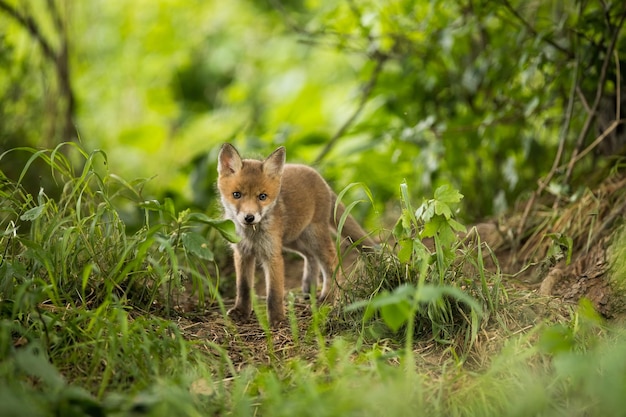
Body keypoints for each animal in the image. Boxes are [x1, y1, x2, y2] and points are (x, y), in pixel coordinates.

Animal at [217, 143, 372, 324]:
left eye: (262, 196)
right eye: (236, 195)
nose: (249, 217)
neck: (251, 236)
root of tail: (318, 176)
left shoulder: (273, 254)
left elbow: (274, 293)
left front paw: (277, 319)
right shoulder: (242, 253)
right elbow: (243, 287)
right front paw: (241, 311)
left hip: (313, 236)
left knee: (331, 261)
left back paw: (328, 297)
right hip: (292, 239)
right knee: (311, 256)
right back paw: (309, 287)